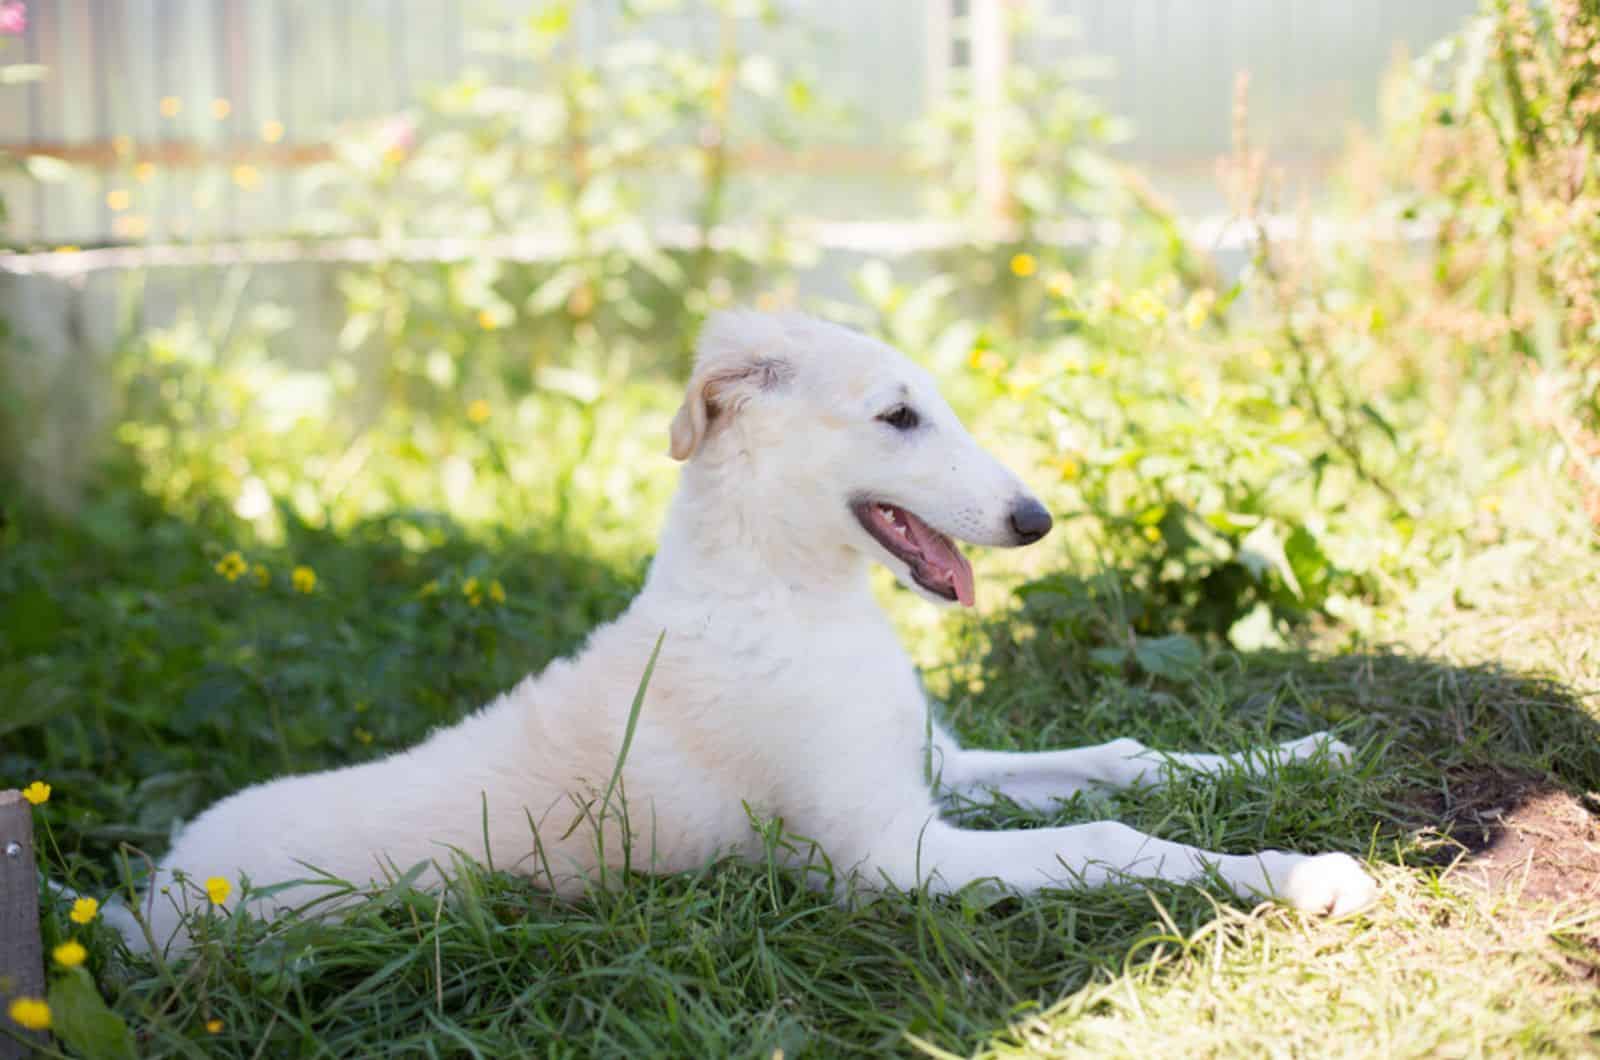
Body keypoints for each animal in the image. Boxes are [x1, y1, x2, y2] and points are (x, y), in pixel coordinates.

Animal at [121, 312, 1376, 947]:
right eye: (898, 415)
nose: (1035, 520)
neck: (792, 600)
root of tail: (140, 904)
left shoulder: (937, 768)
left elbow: (1123, 757)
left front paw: (1298, 753)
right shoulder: (889, 857)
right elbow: (1119, 836)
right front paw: (1301, 872)